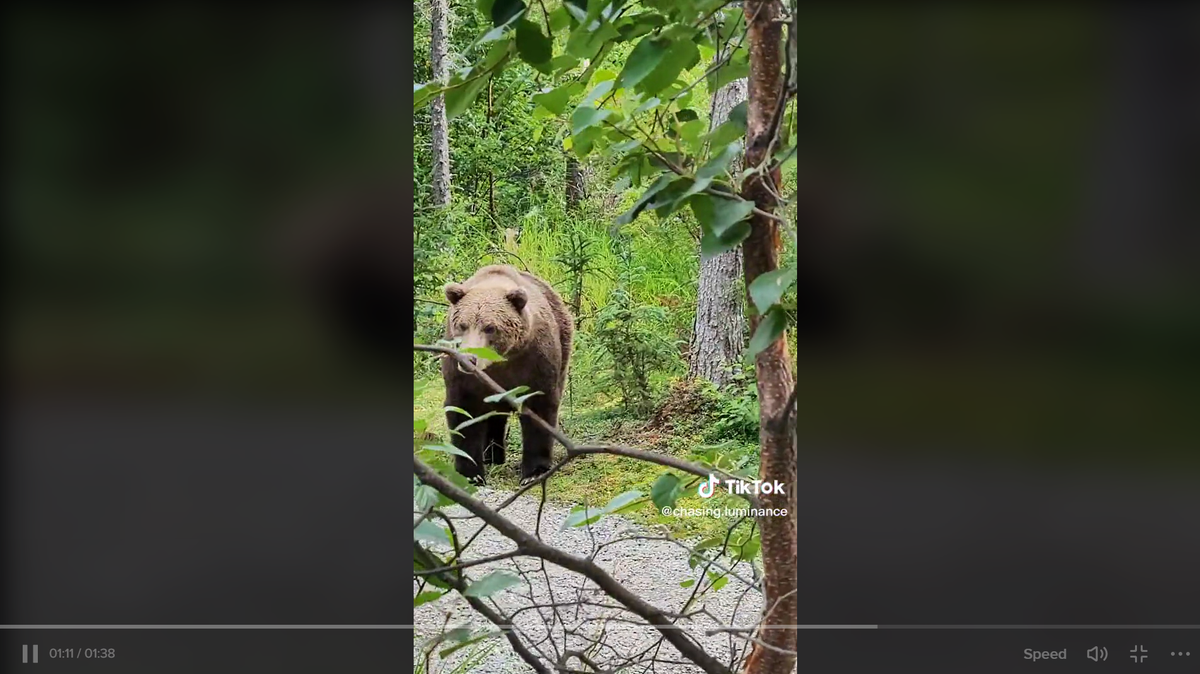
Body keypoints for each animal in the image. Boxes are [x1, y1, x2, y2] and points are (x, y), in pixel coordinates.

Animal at [441, 265, 573, 485]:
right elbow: (464, 412)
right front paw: (471, 474)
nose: (469, 359)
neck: (498, 363)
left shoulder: (534, 360)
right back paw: (491, 456)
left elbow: (539, 406)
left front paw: (534, 471)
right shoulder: (461, 376)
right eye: (462, 325)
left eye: (490, 327)